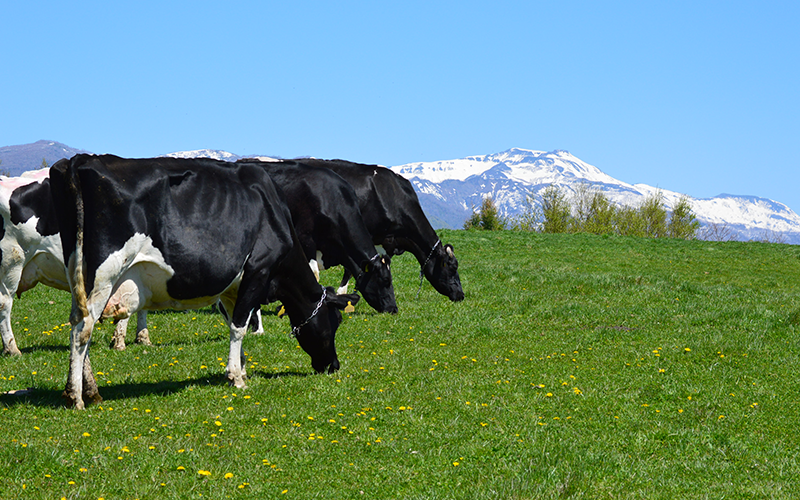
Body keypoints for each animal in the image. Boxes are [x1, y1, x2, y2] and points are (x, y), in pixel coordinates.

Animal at [50, 154, 360, 408]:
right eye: (335, 321)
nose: (333, 365)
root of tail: (80, 160)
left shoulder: (232, 286)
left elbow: (236, 322)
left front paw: (241, 368)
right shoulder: (258, 270)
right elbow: (239, 326)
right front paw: (237, 377)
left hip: (78, 274)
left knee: (78, 322)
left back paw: (91, 391)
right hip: (104, 273)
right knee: (83, 329)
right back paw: (76, 396)